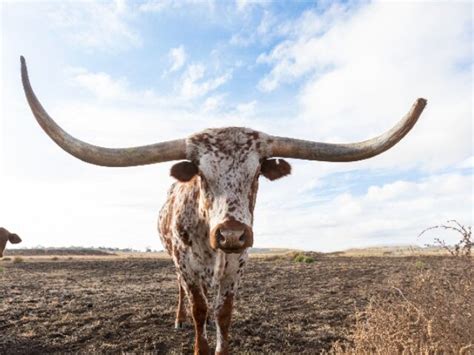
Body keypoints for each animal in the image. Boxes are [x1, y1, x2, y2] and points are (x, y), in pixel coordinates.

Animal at [20, 57, 426, 354]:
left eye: (257, 171)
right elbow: (201, 310)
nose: (230, 234)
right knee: (184, 296)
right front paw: (199, 342)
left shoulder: (236, 265)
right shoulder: (186, 265)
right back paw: (179, 318)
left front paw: (221, 345)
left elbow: (224, 313)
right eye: (201, 173)